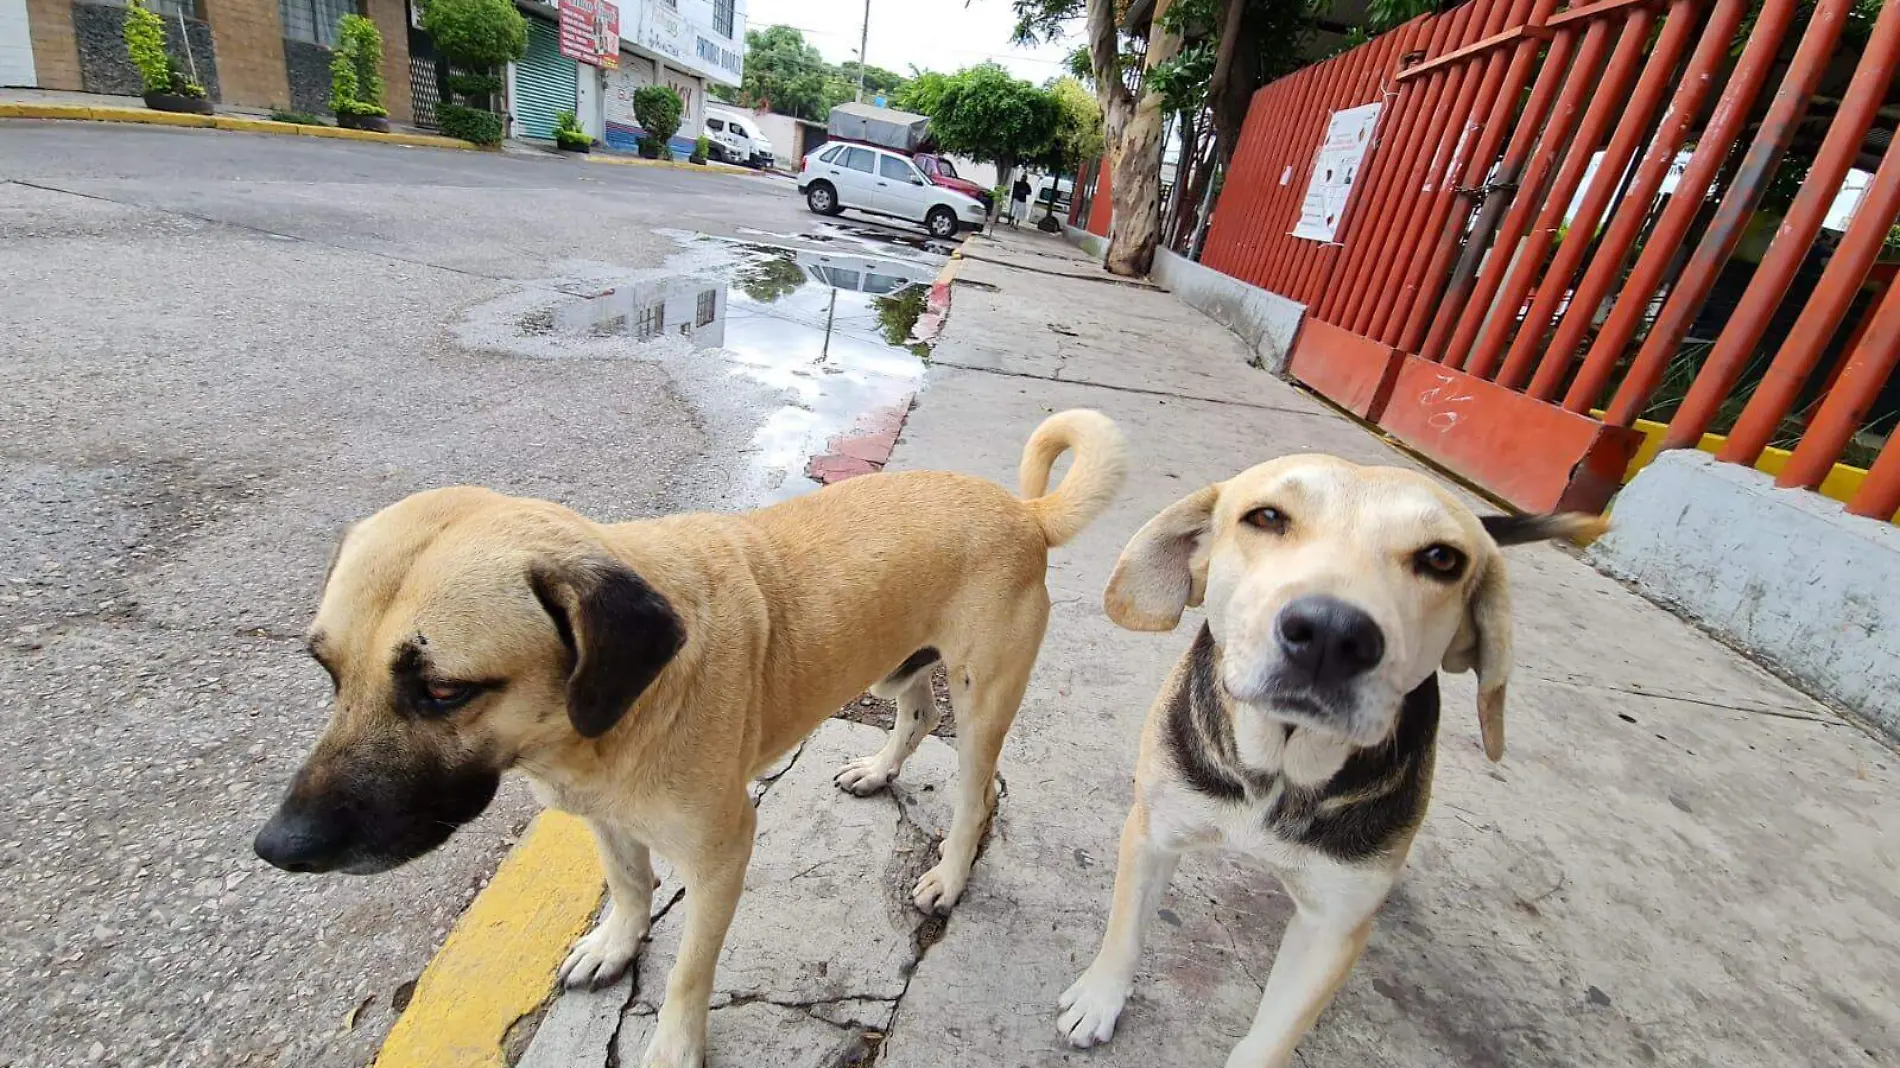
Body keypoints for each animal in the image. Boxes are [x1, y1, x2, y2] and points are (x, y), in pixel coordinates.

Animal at [248, 406, 1109, 1064]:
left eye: (443, 691)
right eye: (327, 670)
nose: (279, 847)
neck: (611, 717)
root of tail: (1023, 513)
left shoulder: (724, 852)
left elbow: (689, 973)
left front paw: (671, 1043)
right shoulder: (602, 817)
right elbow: (631, 885)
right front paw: (616, 943)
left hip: (983, 704)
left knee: (973, 798)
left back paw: (949, 876)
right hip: (893, 666)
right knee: (919, 711)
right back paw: (878, 769)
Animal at [1056, 456, 1603, 1064]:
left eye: (1442, 559)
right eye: (1267, 517)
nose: (1330, 634)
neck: (1278, 771)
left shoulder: (1333, 929)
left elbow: (1271, 1039)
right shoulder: (1153, 831)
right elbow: (1125, 932)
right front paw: (1098, 999)